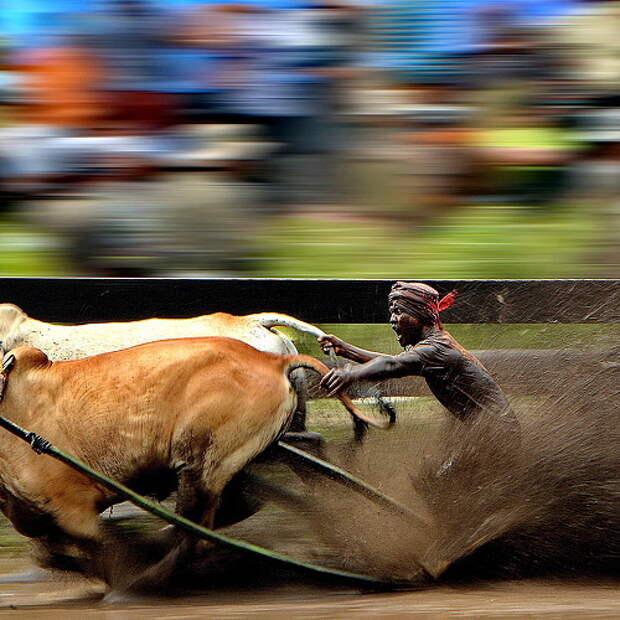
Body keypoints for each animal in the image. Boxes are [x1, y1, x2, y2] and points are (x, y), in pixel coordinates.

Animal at [0, 336, 378, 592]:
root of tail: (273, 360)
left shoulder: (73, 507)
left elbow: (98, 549)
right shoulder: (32, 511)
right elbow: (48, 551)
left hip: (201, 462)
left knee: (195, 535)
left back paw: (145, 582)